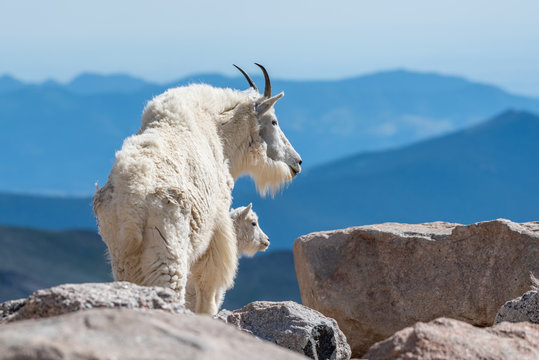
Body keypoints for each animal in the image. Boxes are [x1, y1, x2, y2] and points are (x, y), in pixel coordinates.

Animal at [94, 64, 302, 316]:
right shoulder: (217, 226)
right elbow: (208, 285)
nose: (297, 162)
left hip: (122, 260)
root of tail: (131, 203)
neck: (218, 130)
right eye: (273, 121)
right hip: (167, 252)